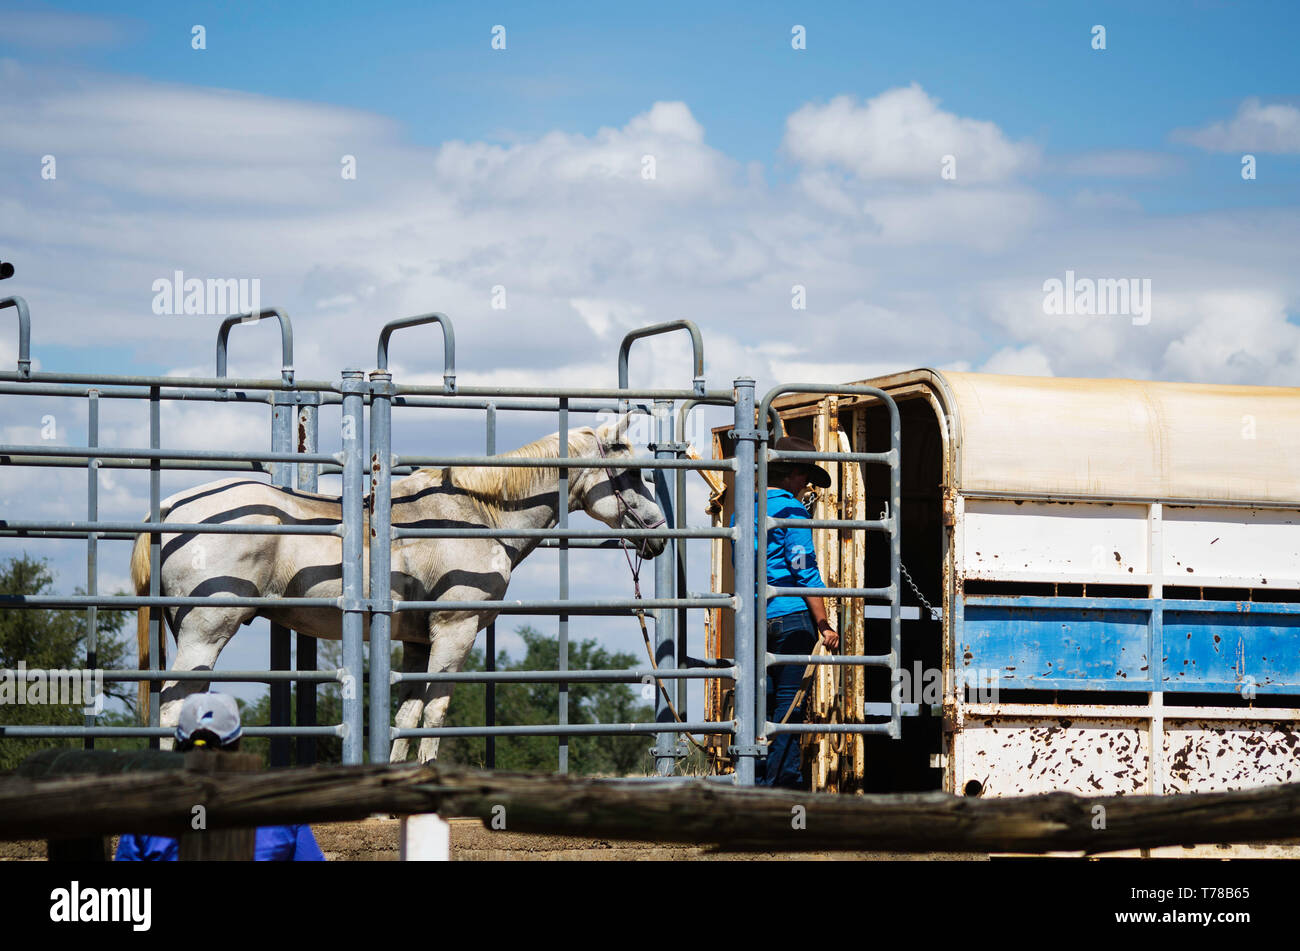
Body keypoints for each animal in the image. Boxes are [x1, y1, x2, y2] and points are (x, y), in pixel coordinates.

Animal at [130, 413, 665, 763]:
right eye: (632, 472)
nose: (658, 533)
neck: (475, 515)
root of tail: (172, 508)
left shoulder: (416, 641)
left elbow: (406, 716)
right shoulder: (455, 633)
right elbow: (436, 712)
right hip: (204, 636)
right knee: (174, 708)